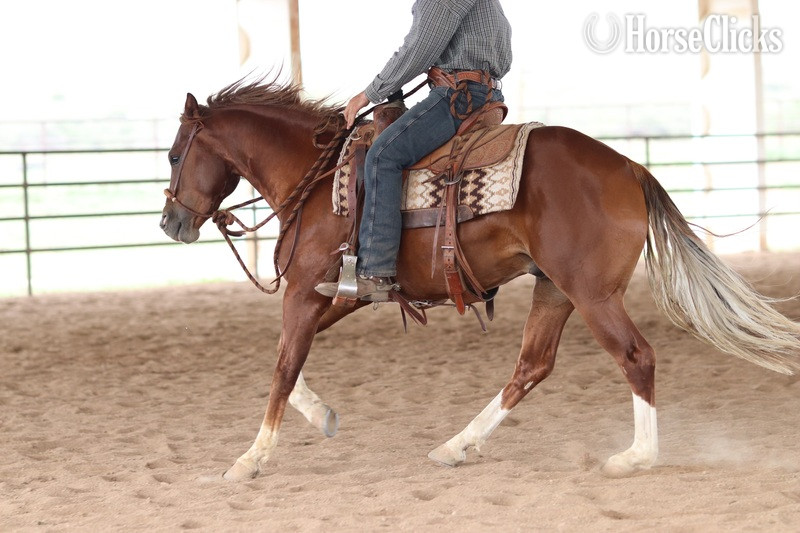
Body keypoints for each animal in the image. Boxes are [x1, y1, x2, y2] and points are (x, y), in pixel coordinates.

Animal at [159, 78, 800, 481]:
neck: (317, 182)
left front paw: (249, 460)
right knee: (532, 366)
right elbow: (290, 365)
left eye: (172, 155)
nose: (170, 222)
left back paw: (633, 458)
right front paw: (322, 417)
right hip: (554, 289)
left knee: (635, 356)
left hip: (592, 294)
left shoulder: (301, 293)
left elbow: (282, 367)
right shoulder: (339, 292)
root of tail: (629, 166)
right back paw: (456, 445)